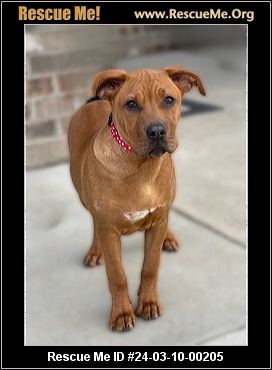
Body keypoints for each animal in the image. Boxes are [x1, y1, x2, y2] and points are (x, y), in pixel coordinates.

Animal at [67, 67, 204, 332]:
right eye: (131, 104)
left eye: (169, 100)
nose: (157, 131)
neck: (140, 167)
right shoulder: (109, 230)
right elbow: (117, 276)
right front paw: (121, 313)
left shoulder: (157, 220)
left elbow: (150, 266)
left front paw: (148, 302)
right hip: (83, 196)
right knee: (93, 222)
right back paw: (95, 250)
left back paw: (168, 238)